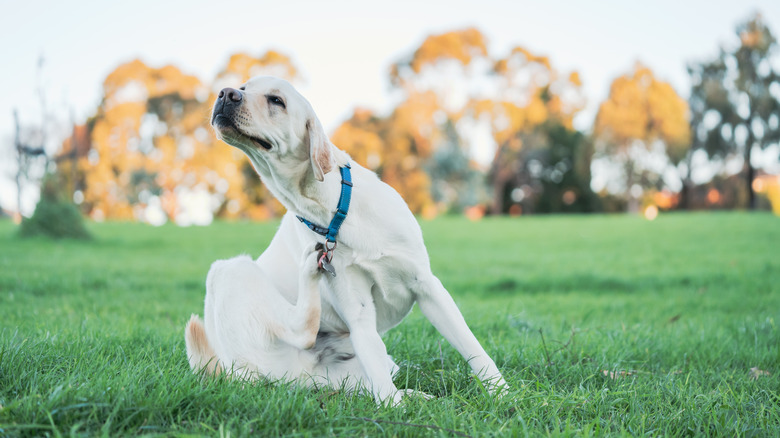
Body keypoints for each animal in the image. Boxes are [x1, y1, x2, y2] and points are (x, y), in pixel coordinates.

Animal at [187, 74, 508, 404]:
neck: (333, 212)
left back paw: (420, 397)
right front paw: (396, 409)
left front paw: (502, 394)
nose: (225, 93)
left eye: (276, 100)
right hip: (229, 270)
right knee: (303, 331)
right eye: (243, 87)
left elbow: (473, 348)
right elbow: (388, 397)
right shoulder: (358, 313)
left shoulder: (427, 286)